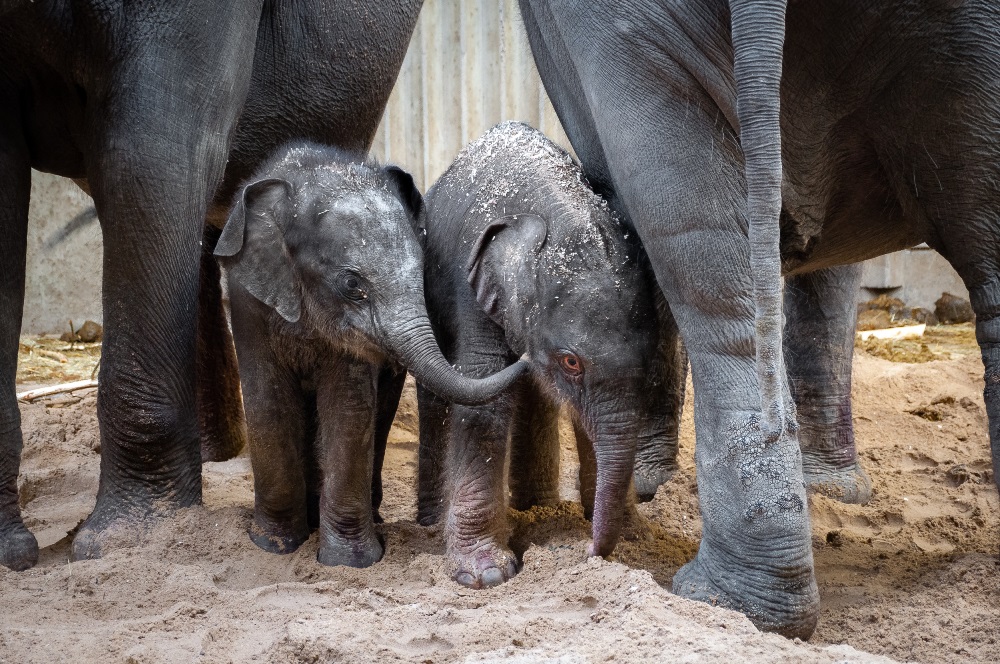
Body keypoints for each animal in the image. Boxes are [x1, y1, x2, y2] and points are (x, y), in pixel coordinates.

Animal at [216, 143, 528, 568]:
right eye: (352, 284)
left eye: (424, 272)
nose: (526, 354)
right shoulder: (249, 304)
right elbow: (268, 404)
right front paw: (273, 546)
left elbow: (349, 408)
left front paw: (349, 563)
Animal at [418, 123, 668, 588]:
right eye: (571, 362)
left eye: (649, 359)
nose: (588, 553)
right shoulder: (473, 289)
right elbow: (484, 396)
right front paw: (485, 575)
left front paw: (632, 535)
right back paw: (430, 521)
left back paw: (537, 506)